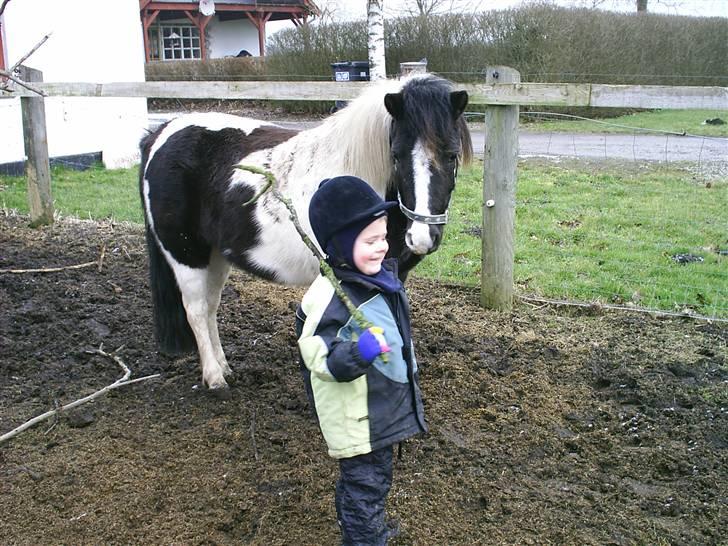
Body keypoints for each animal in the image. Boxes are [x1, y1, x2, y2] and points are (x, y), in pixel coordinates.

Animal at [141, 73, 472, 392]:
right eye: (397, 155)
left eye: (452, 155)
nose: (422, 237)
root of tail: (160, 134)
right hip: (186, 254)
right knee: (196, 310)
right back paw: (214, 378)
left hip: (215, 256)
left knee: (210, 308)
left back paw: (224, 367)